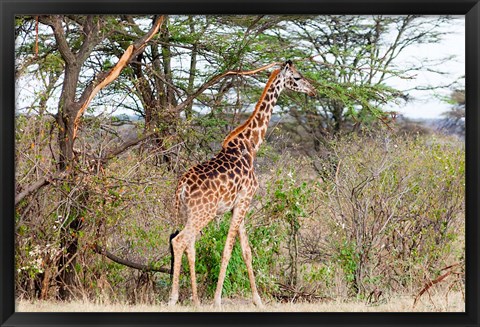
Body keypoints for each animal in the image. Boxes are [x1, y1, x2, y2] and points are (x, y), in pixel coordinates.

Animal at [167, 60, 316, 308]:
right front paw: (218, 301)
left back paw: (191, 300)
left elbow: (246, 250)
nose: (313, 90)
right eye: (296, 77)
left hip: (188, 213)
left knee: (188, 244)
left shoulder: (240, 205)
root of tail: (181, 187)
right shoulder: (245, 200)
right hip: (203, 213)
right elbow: (228, 249)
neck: (251, 145)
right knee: (180, 241)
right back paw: (177, 299)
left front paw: (258, 301)